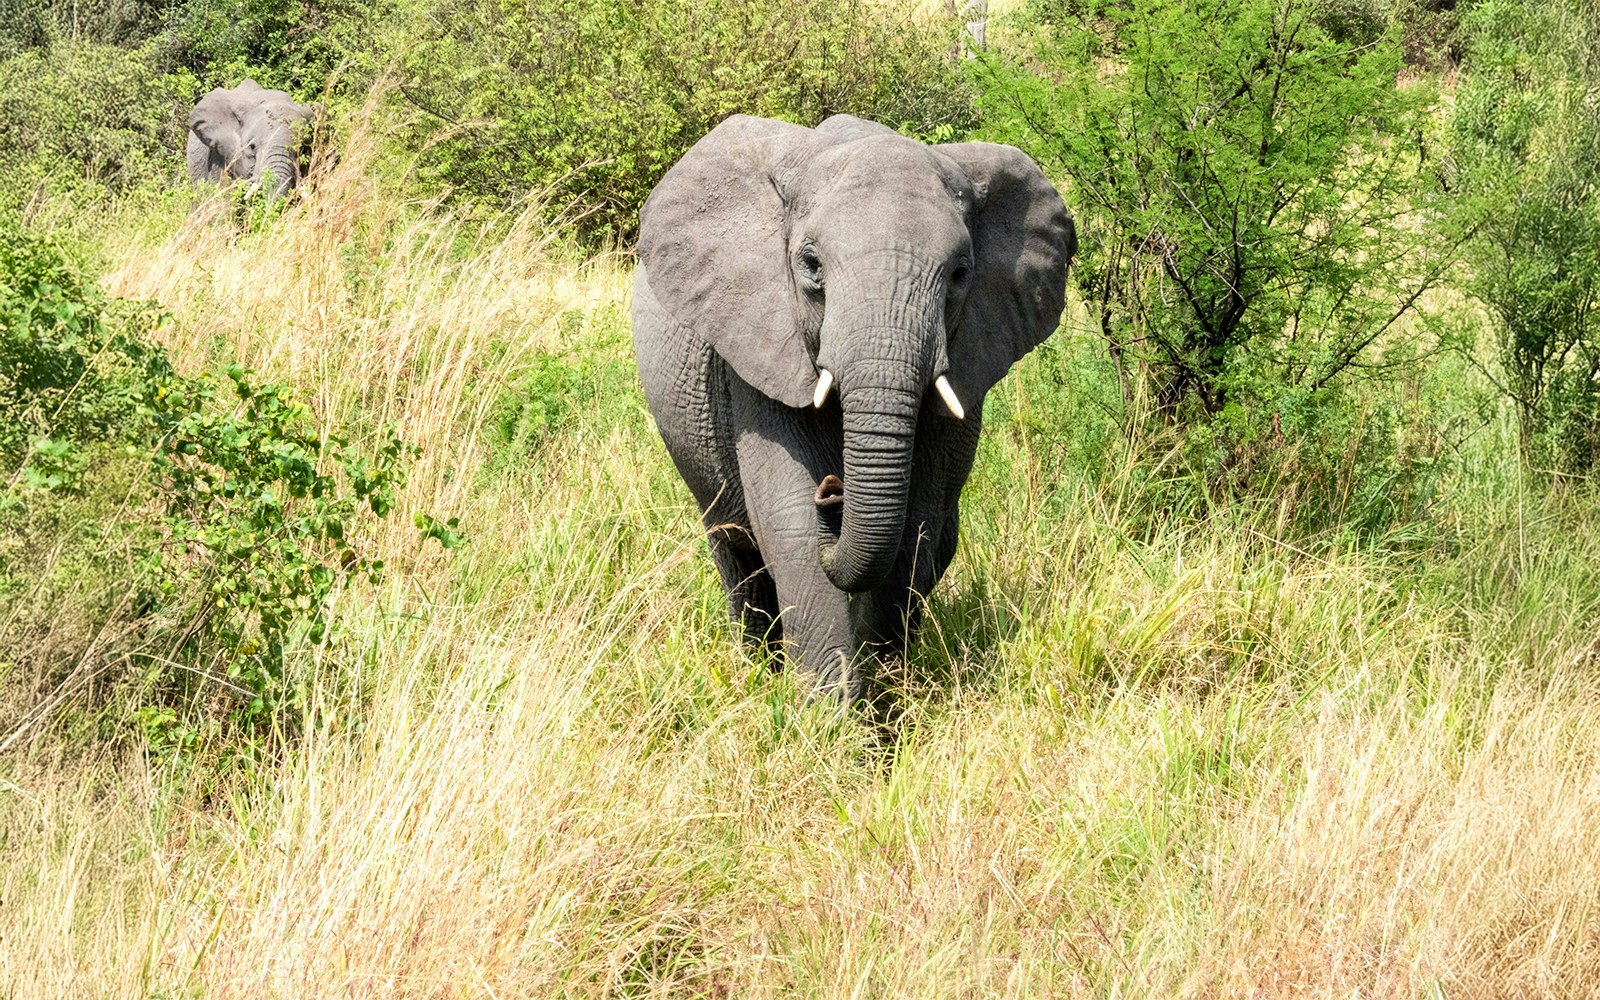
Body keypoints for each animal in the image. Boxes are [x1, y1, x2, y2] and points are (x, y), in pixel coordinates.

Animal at [632, 113, 1074, 701]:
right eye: (810, 265)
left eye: (961, 274)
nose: (834, 491)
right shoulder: (755, 352)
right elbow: (791, 520)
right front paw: (828, 718)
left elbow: (915, 526)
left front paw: (885, 700)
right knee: (736, 554)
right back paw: (756, 671)